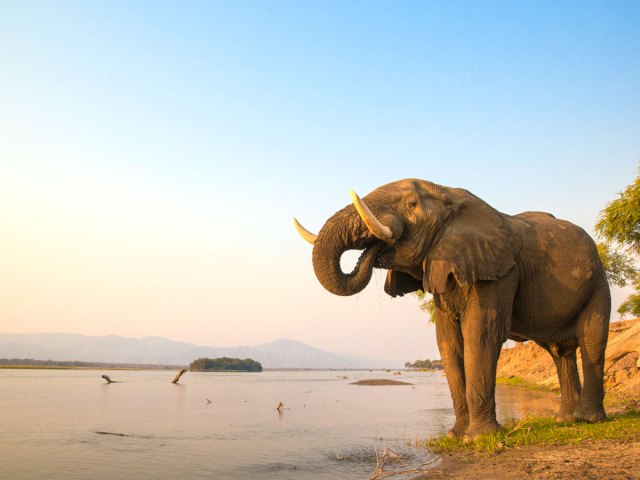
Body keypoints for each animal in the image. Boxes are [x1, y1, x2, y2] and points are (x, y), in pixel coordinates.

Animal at [296, 178, 608, 440]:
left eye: (411, 204)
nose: (373, 249)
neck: (449, 196)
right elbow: (448, 342)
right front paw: (455, 436)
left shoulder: (499, 271)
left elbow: (481, 335)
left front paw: (478, 438)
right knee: (559, 351)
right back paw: (565, 421)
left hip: (598, 282)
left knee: (591, 341)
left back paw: (590, 419)